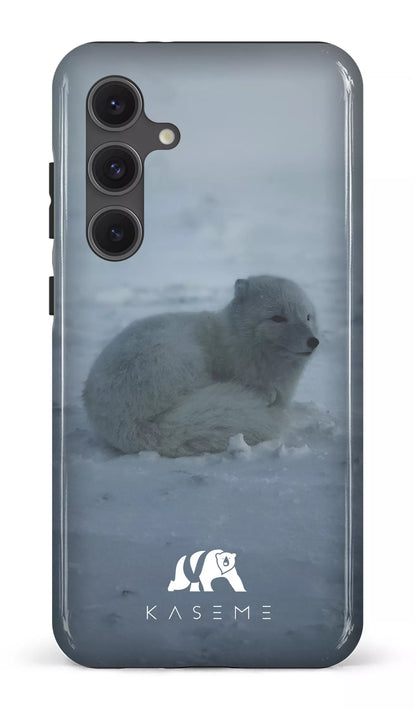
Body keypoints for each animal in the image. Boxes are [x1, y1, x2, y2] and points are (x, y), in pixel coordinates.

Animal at [83, 275, 319, 457]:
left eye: (307, 316)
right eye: (277, 318)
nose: (313, 341)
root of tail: (129, 423)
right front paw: (265, 394)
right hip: (180, 359)